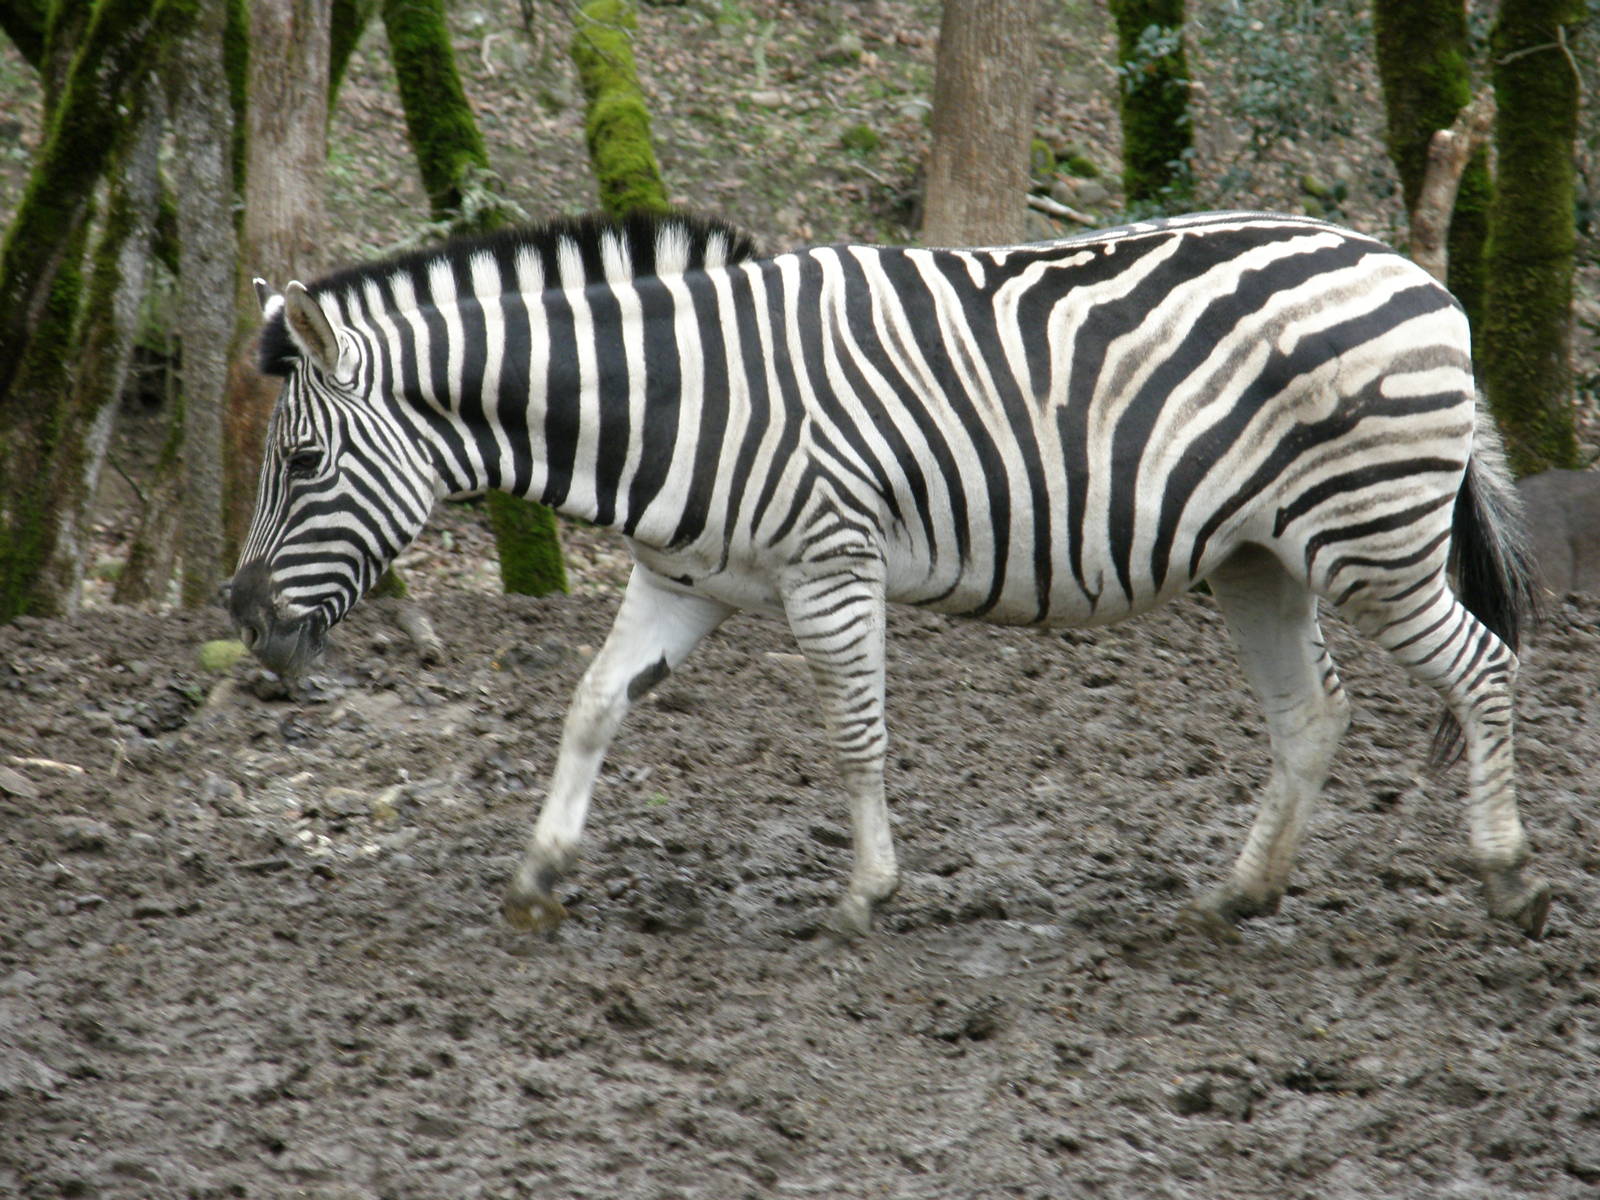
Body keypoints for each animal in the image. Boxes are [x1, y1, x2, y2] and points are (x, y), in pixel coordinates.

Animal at [229, 209, 1549, 940]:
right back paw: (1238, 896)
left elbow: (854, 734)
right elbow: (592, 706)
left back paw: (1506, 877)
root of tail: (1416, 276)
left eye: (300, 462)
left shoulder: (832, 565)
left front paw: (865, 895)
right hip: (1258, 558)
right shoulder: (681, 582)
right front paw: (540, 874)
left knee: (1483, 668)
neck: (671, 403)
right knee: (1313, 711)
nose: (240, 617)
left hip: (1370, 540)